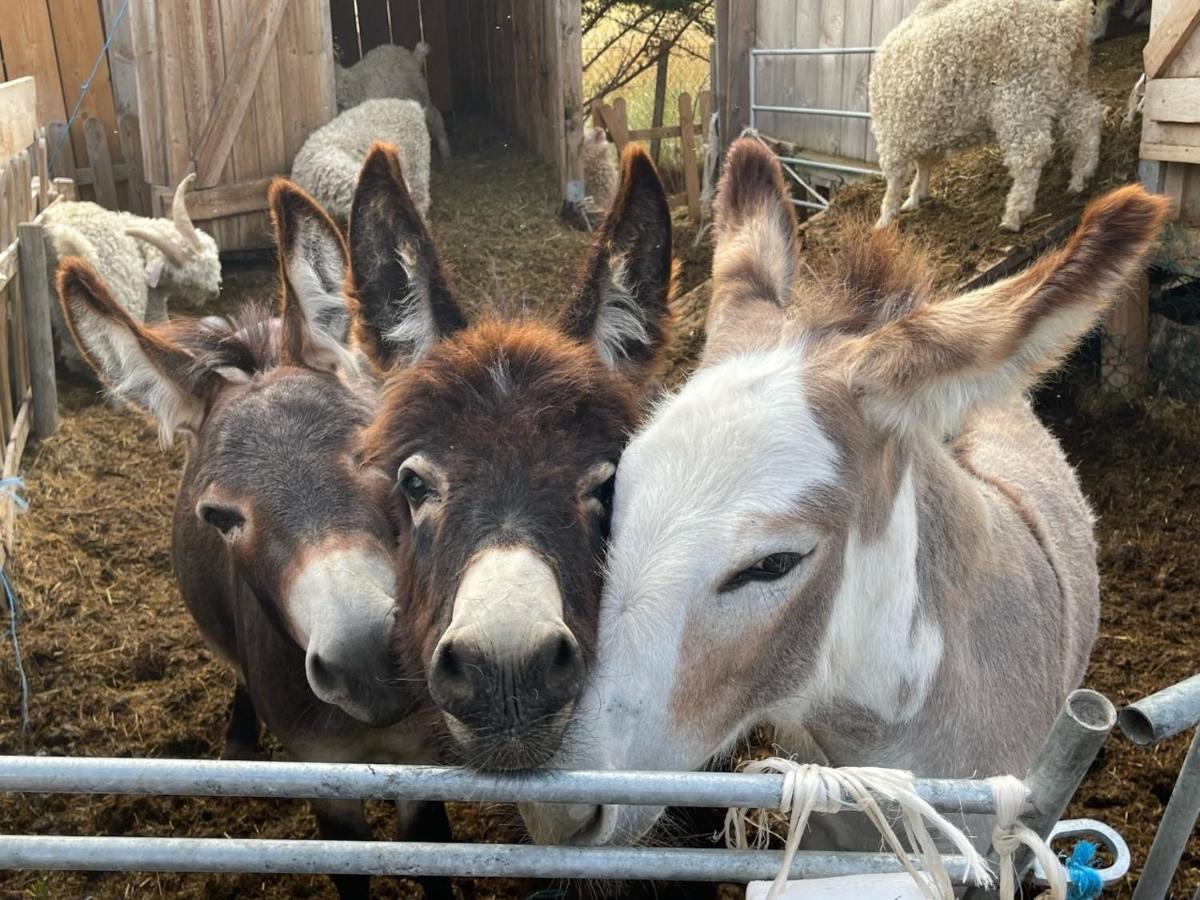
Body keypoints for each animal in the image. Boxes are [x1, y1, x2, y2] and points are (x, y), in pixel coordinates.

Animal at [868, 0, 1099, 232]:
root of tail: (1067, 16)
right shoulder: (920, 131)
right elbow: (923, 165)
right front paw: (917, 196)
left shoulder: (891, 135)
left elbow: (895, 179)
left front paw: (885, 219)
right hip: (1064, 84)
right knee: (1087, 119)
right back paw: (1081, 176)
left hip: (1020, 94)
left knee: (1031, 152)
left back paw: (1015, 213)